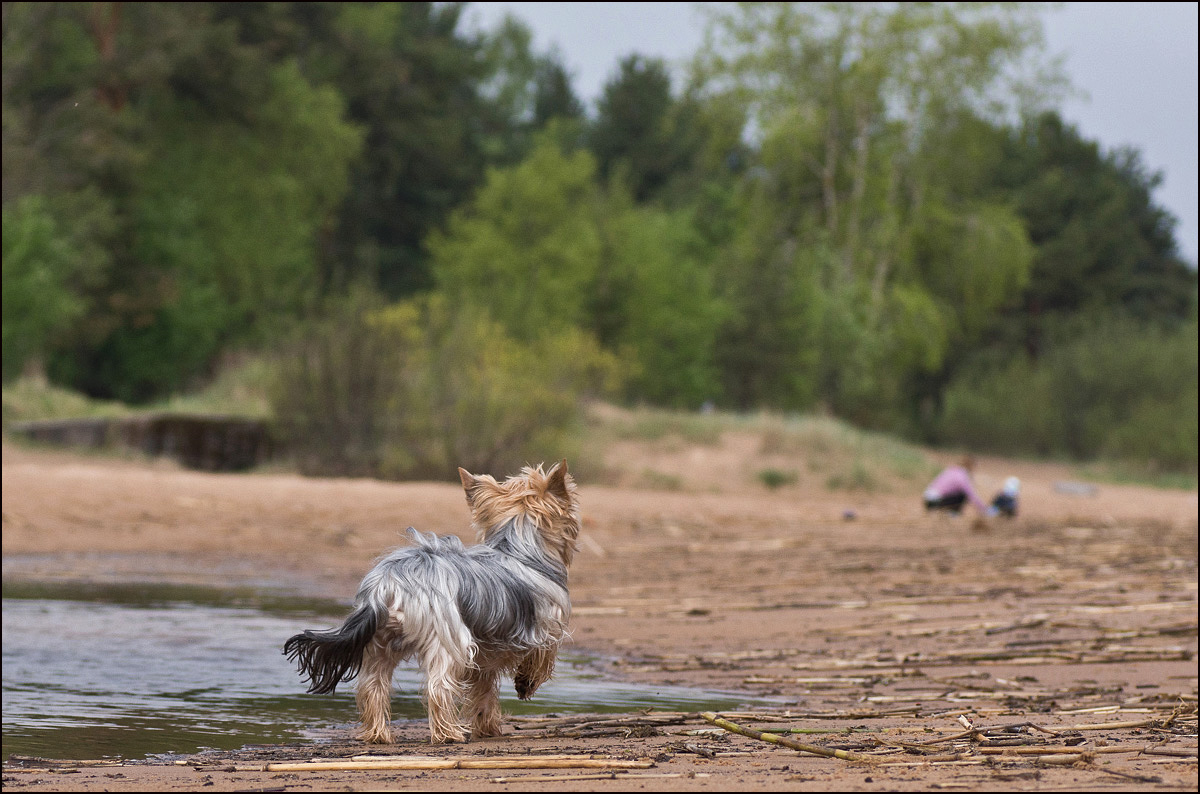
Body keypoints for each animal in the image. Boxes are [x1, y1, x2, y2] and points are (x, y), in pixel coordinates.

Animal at [283, 460, 578, 748]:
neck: (520, 548)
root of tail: (387, 585)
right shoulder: (546, 626)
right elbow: (542, 657)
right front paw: (525, 684)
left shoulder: (485, 657)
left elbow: (483, 691)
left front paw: (487, 727)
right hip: (449, 638)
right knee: (438, 686)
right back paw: (448, 734)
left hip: (380, 643)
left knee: (372, 686)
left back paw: (378, 734)